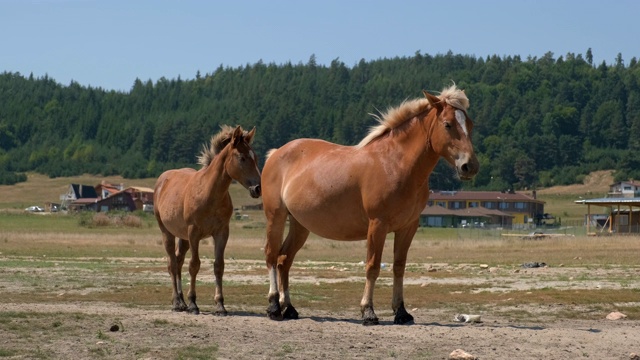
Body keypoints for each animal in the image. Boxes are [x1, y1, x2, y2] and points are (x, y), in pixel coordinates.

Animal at [154, 126, 262, 316]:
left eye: (255, 157)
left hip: (183, 237)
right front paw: (193, 303)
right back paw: (177, 302)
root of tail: (162, 180)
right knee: (172, 263)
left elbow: (219, 266)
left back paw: (181, 301)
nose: (257, 188)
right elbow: (194, 265)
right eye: (242, 158)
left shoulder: (221, 232)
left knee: (178, 260)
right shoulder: (194, 233)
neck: (210, 193)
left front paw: (220, 305)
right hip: (167, 232)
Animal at [262, 86, 478, 324]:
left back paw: (289, 308)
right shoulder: (377, 225)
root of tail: (275, 153)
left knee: (284, 259)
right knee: (271, 255)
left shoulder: (408, 227)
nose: (469, 166)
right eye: (448, 124)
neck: (394, 164)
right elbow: (372, 267)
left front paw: (401, 312)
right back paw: (274, 306)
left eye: (470, 125)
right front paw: (368, 311)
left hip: (300, 225)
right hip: (276, 217)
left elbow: (399, 267)